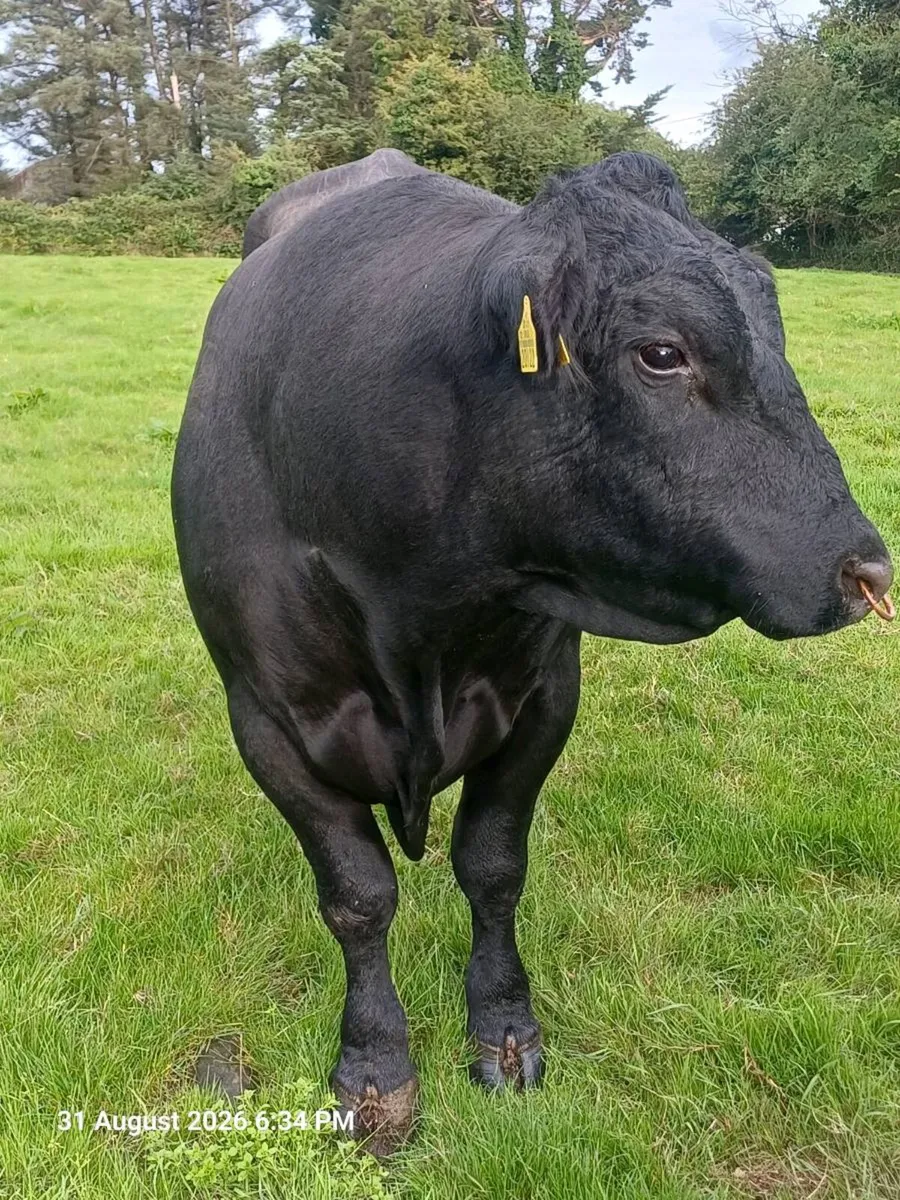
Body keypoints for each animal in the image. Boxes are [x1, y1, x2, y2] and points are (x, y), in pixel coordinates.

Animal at [172, 150, 893, 1155]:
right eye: (661, 352)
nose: (867, 569)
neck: (421, 606)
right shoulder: (267, 720)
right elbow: (358, 894)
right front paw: (375, 1065)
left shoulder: (546, 696)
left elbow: (493, 865)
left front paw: (505, 1027)